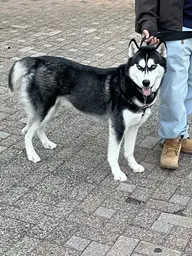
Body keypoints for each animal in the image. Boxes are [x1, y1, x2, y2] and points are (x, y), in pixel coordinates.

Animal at [7, 39, 166, 181]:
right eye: (139, 67)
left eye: (153, 66)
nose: (146, 82)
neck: (128, 86)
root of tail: (38, 60)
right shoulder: (117, 126)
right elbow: (114, 154)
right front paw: (117, 173)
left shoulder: (133, 127)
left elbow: (129, 151)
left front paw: (134, 166)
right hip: (45, 110)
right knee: (28, 132)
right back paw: (32, 155)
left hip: (50, 111)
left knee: (38, 128)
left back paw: (46, 143)